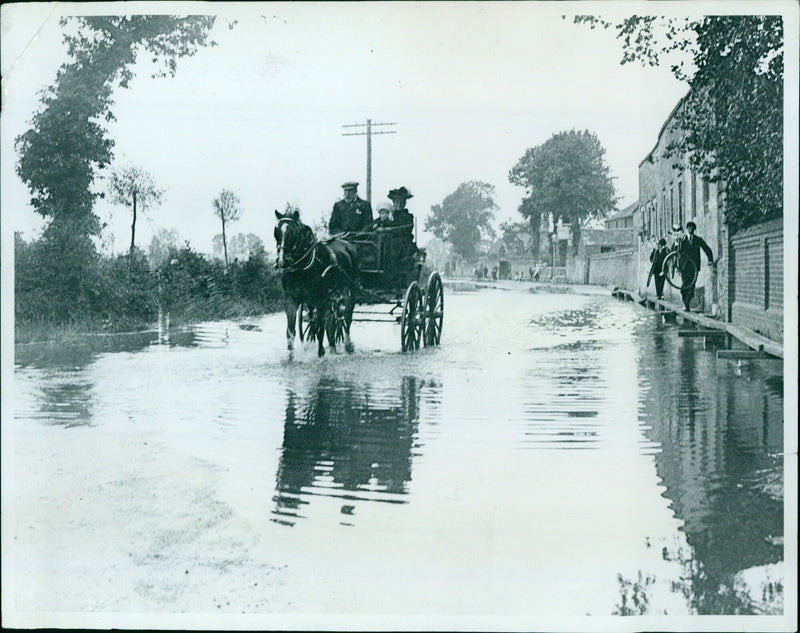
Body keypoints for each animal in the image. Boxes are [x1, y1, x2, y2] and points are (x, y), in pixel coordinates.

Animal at [274, 207, 358, 356]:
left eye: (293, 233)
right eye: (276, 232)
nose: (283, 261)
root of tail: (347, 243)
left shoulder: (321, 299)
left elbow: (319, 328)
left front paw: (321, 353)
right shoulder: (291, 298)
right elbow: (291, 331)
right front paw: (290, 356)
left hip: (349, 290)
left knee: (346, 317)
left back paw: (348, 345)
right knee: (333, 318)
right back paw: (333, 345)